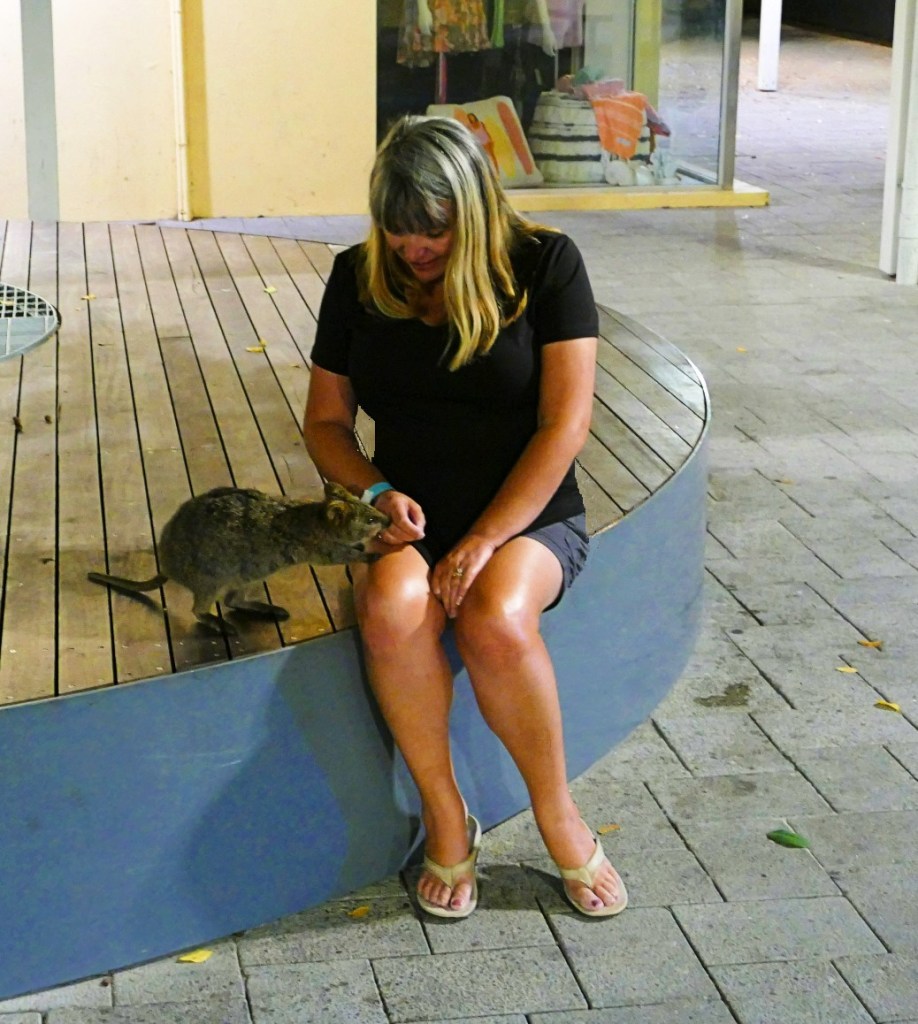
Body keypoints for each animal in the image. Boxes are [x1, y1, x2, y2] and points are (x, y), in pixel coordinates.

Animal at [87, 480, 390, 634]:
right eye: (371, 520)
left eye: (373, 512)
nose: (388, 520)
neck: (314, 517)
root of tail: (168, 566)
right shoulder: (319, 549)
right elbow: (340, 554)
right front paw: (369, 555)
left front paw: (362, 548)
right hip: (211, 576)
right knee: (200, 609)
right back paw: (216, 621)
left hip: (248, 572)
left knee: (233, 600)